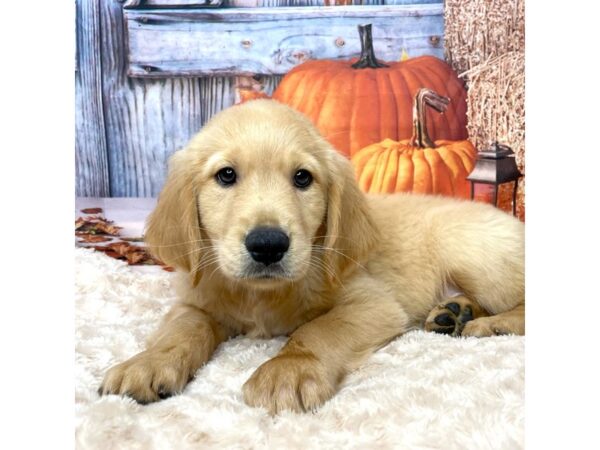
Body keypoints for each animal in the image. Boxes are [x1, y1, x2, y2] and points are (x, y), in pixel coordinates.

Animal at [98, 100, 524, 414]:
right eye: (226, 175)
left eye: (303, 177)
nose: (268, 244)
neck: (262, 295)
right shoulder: (195, 301)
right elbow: (180, 332)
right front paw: (147, 363)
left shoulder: (373, 304)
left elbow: (318, 330)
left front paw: (287, 370)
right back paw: (454, 312)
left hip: (475, 256)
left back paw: (490, 324)